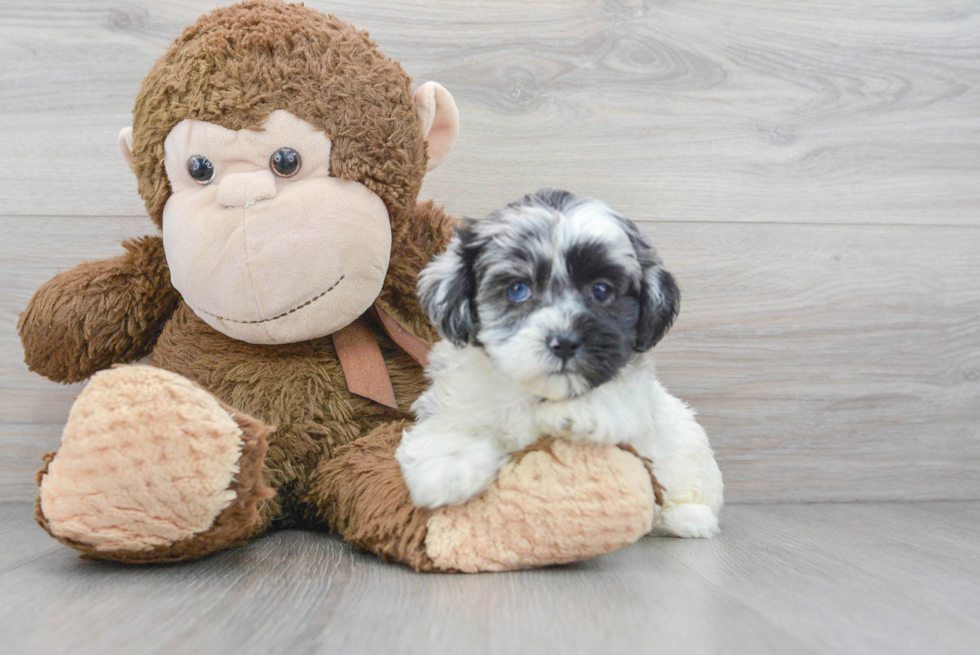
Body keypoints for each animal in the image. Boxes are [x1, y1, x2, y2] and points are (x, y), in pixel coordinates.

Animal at [394, 190, 724, 540]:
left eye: (601, 290)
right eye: (517, 289)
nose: (564, 342)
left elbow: (622, 393)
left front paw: (580, 411)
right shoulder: (454, 396)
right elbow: (449, 425)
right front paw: (447, 470)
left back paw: (686, 518)